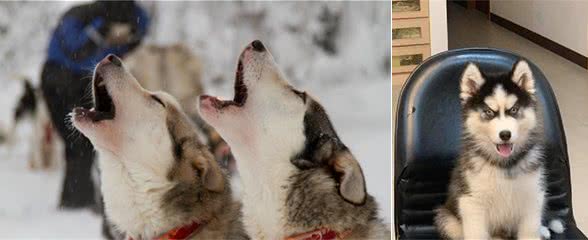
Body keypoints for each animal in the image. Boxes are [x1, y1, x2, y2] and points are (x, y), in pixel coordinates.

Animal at [434, 61, 564, 239]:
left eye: (514, 110)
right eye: (489, 112)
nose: (505, 135)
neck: (504, 164)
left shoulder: (533, 197)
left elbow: (530, 230)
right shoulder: (471, 202)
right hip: (447, 220)